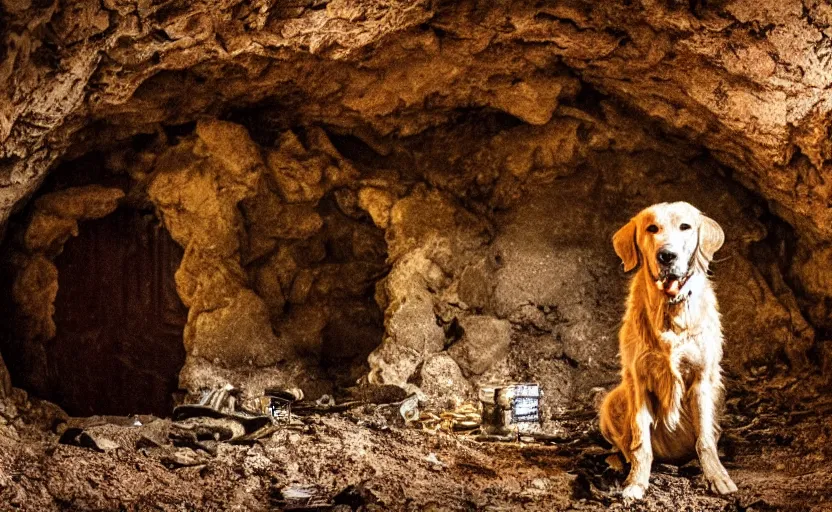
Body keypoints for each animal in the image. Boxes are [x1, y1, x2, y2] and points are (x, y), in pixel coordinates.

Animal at [600, 201, 736, 500]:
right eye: (652, 228)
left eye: (685, 227)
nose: (667, 255)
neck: (670, 310)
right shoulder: (638, 380)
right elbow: (641, 444)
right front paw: (636, 483)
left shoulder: (702, 379)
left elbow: (705, 441)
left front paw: (718, 478)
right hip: (612, 400)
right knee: (625, 446)